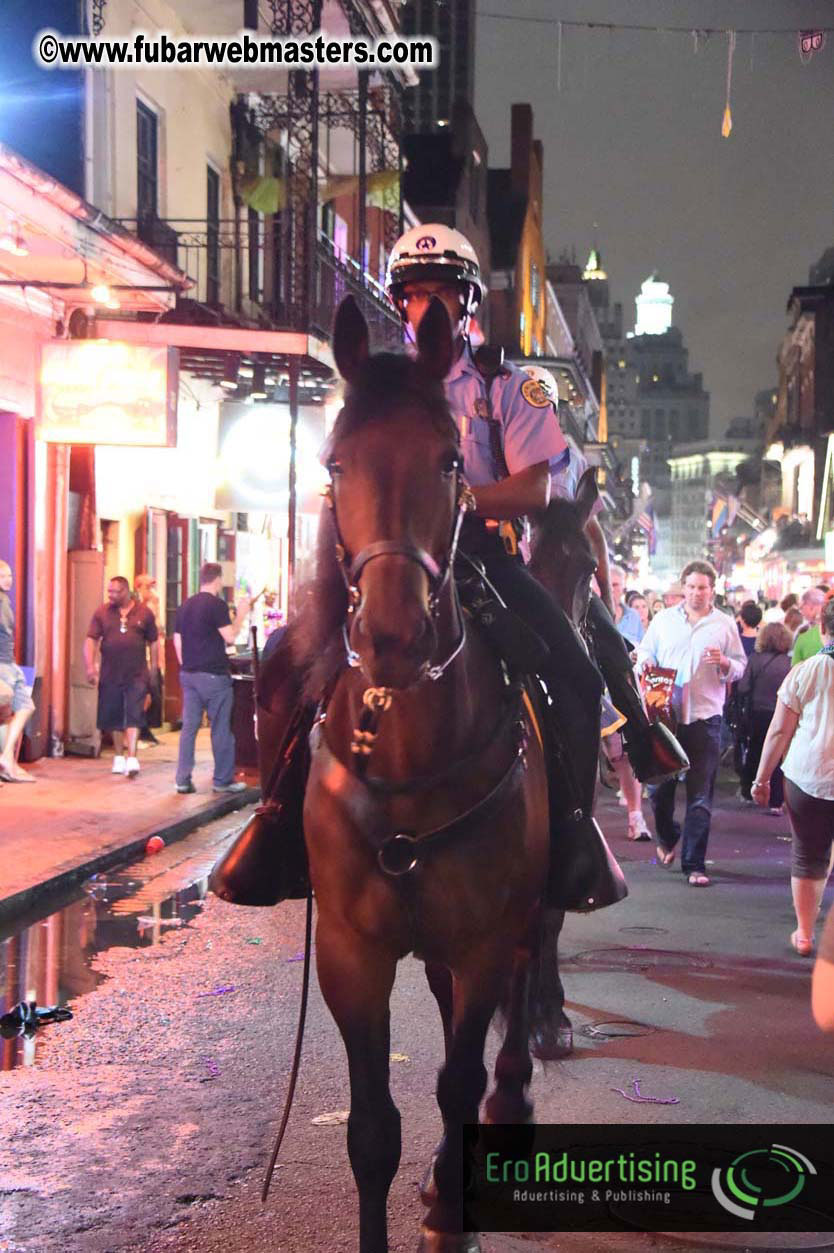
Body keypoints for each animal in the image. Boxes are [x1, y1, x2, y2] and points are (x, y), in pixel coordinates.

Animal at [285, 300, 598, 1253]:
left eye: (452, 460)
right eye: (334, 463)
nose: (391, 634)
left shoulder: (483, 934)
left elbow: (456, 1081)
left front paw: (452, 1220)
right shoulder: (351, 952)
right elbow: (370, 1130)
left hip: (526, 900)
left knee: (526, 976)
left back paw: (516, 1095)